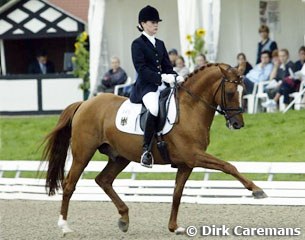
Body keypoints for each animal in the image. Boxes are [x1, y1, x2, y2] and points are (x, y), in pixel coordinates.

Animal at [43, 62, 266, 235]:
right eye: (230, 92)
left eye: (243, 91)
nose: (237, 124)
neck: (191, 108)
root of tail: (84, 103)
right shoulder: (194, 156)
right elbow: (228, 166)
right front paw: (257, 190)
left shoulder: (186, 163)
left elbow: (177, 194)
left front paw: (174, 227)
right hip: (83, 154)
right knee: (70, 184)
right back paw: (64, 226)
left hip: (120, 156)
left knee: (103, 180)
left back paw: (124, 219)